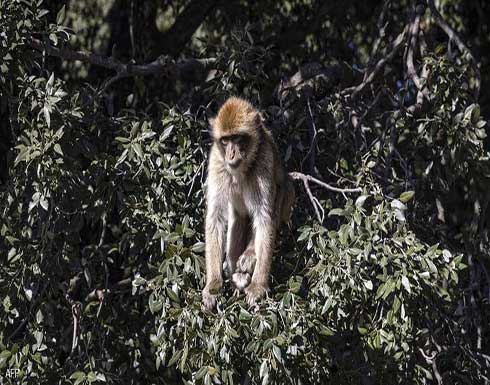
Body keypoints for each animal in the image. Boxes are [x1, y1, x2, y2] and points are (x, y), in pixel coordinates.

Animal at [201, 96, 292, 308]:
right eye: (225, 140)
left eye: (238, 138)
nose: (231, 154)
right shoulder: (217, 161)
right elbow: (215, 217)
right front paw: (213, 284)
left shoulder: (264, 161)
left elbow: (264, 217)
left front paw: (258, 285)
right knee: (238, 219)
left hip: (287, 198)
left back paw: (248, 258)